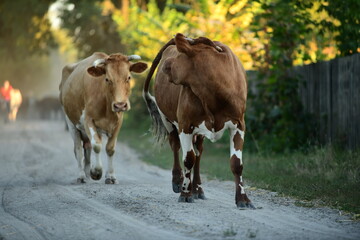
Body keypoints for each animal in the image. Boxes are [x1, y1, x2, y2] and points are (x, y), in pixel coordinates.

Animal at [59, 52, 147, 183]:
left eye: (129, 77)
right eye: (107, 79)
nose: (120, 105)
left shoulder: (118, 122)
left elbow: (110, 148)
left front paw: (110, 176)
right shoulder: (88, 120)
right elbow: (97, 145)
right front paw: (96, 172)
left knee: (87, 147)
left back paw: (87, 172)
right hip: (71, 122)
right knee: (78, 149)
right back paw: (81, 175)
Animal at [142, 33, 255, 208]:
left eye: (181, 55)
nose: (166, 64)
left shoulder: (239, 124)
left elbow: (236, 163)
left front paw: (243, 199)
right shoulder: (185, 125)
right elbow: (188, 159)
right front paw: (185, 193)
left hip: (200, 132)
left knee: (199, 153)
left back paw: (198, 189)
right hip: (166, 118)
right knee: (175, 146)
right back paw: (178, 181)